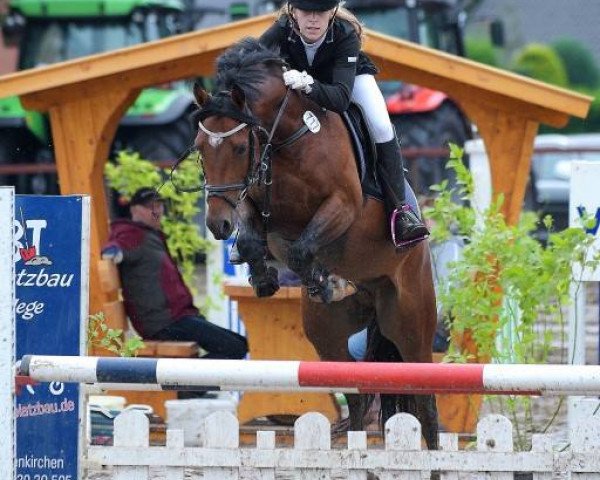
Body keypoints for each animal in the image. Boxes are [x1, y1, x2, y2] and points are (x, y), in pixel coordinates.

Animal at [193, 38, 440, 450]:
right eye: (199, 147)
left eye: (240, 148)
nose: (216, 224)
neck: (287, 139)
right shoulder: (255, 201)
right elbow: (255, 241)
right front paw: (265, 277)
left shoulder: (343, 205)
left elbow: (300, 247)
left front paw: (325, 281)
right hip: (327, 334)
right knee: (355, 391)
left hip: (411, 324)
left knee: (426, 400)